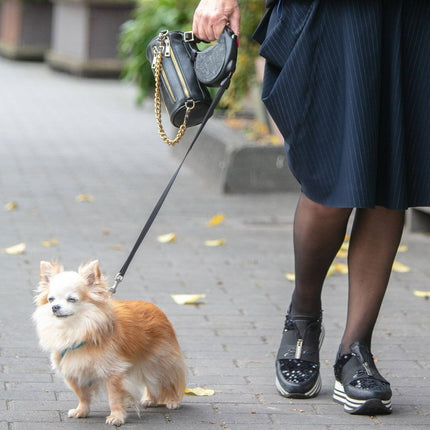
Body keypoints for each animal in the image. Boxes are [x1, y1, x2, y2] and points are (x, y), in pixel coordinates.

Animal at [32, 260, 187, 424]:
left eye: (72, 299)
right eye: (51, 299)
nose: (54, 307)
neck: (76, 329)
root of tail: (156, 309)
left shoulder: (112, 372)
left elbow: (114, 397)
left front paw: (116, 417)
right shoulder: (73, 370)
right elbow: (82, 395)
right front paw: (81, 411)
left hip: (159, 362)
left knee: (169, 380)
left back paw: (173, 400)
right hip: (146, 365)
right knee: (152, 382)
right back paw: (150, 399)